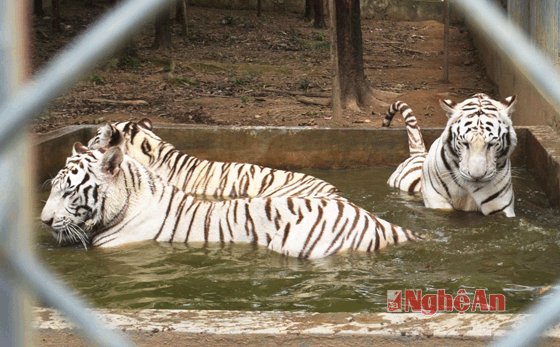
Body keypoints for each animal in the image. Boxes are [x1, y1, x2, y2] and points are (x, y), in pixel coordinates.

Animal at [382, 93, 520, 218]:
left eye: (491, 144)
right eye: (465, 143)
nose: (476, 177)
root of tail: (419, 153)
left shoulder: (501, 206)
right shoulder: (436, 200)